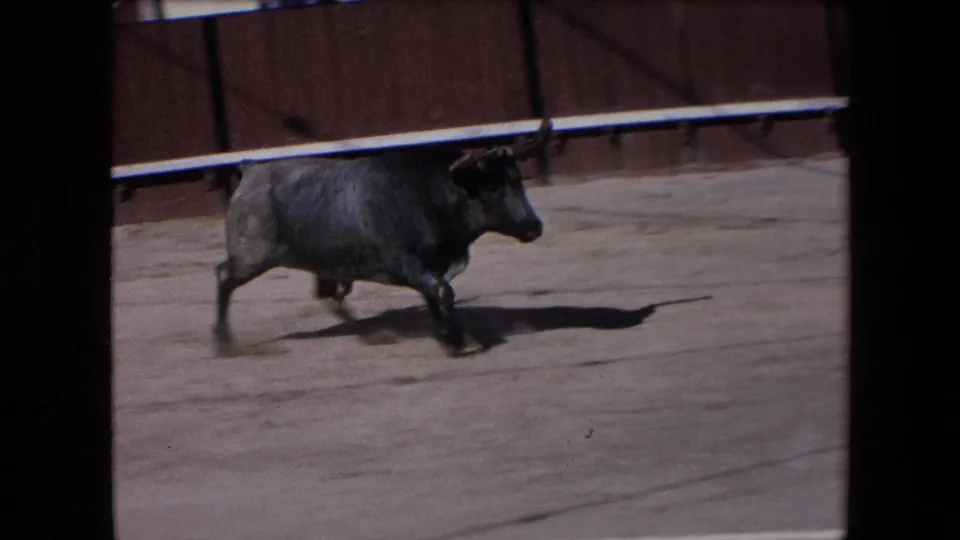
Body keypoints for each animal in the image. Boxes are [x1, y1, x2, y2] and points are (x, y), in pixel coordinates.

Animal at [214, 119, 553, 357]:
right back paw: (223, 341)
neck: (429, 194)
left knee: (327, 295)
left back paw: (364, 333)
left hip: (320, 263)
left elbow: (435, 293)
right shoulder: (405, 262)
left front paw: (448, 336)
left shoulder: (434, 266)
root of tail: (251, 171)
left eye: (518, 181)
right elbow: (442, 291)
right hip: (252, 257)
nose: (533, 226)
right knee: (224, 278)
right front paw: (455, 341)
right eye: (492, 186)